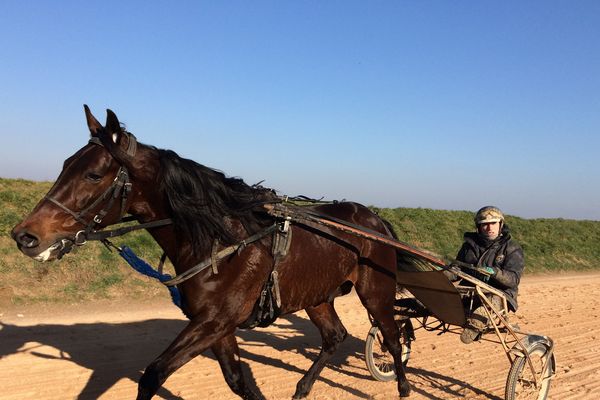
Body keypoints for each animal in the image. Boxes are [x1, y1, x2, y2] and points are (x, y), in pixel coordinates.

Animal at [10, 107, 412, 400]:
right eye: (65, 165)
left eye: (93, 174)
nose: (24, 235)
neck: (223, 243)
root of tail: (374, 218)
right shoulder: (216, 324)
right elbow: (238, 381)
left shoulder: (215, 321)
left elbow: (152, 375)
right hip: (316, 295)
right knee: (334, 336)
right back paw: (302, 388)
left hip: (376, 291)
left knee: (393, 337)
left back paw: (404, 386)